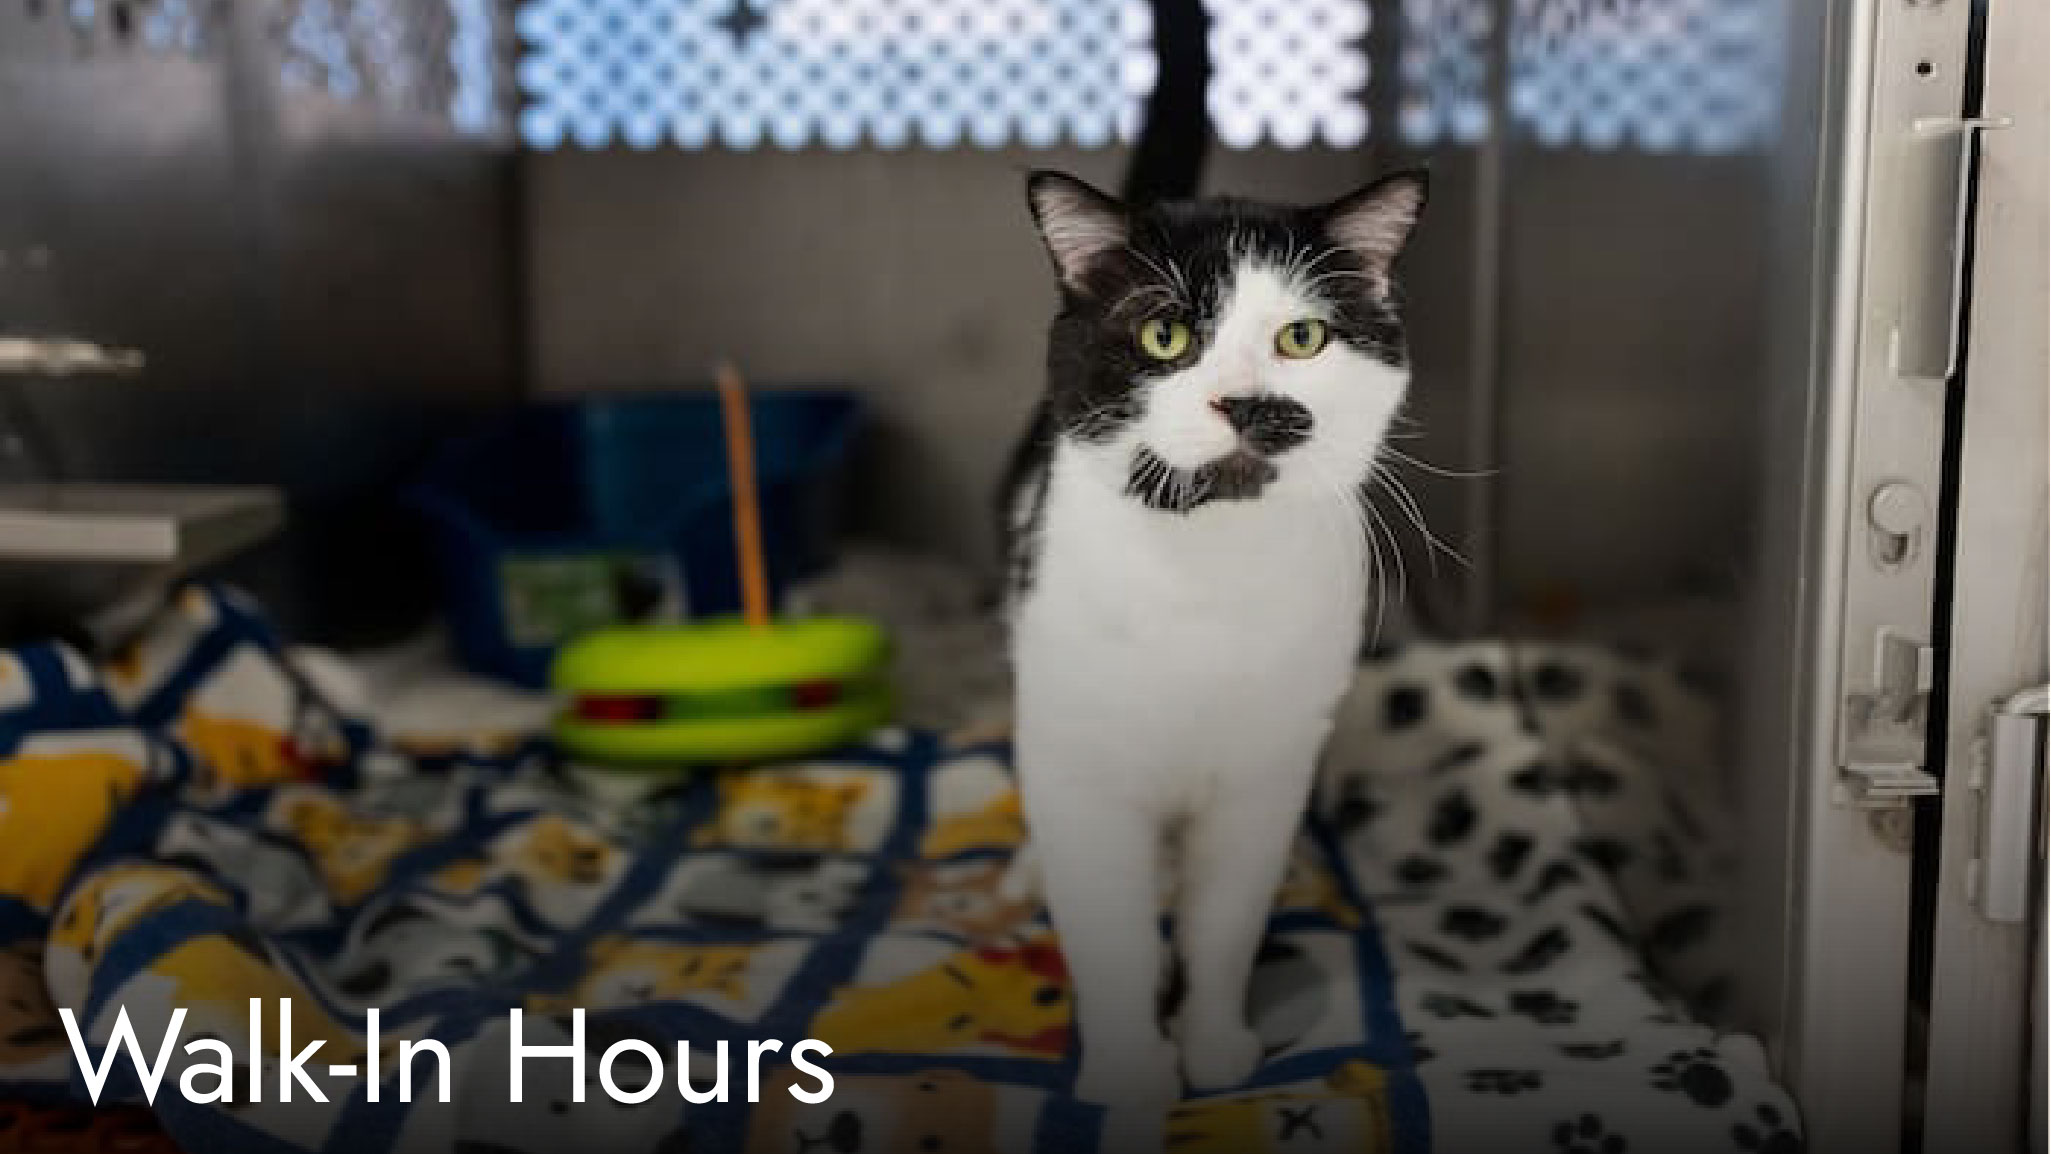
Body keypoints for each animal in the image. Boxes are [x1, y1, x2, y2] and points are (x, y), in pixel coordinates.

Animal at [996, 167, 1419, 1123]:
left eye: (1302, 337)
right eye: (1165, 334)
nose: (1247, 402)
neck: (1208, 566)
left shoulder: (1262, 777)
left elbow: (1224, 922)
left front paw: (1215, 1045)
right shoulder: (1085, 772)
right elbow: (1109, 931)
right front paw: (1128, 1071)